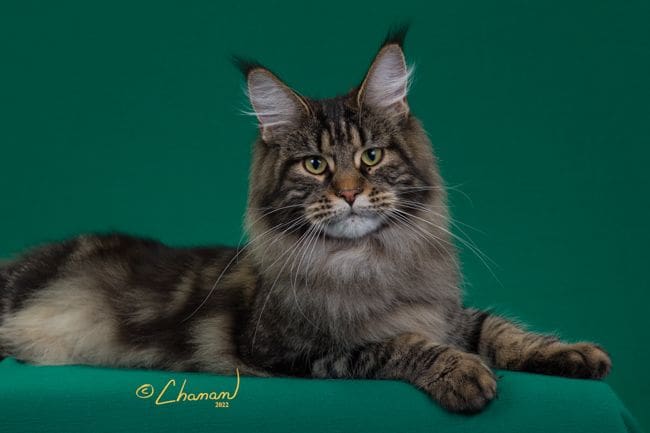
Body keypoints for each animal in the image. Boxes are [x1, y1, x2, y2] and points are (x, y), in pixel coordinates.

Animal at [0, 27, 608, 412]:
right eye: (315, 164)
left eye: (370, 156)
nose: (349, 193)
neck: (368, 262)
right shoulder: (297, 351)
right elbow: (398, 343)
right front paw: (462, 374)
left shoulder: (446, 312)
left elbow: (500, 328)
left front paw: (572, 353)